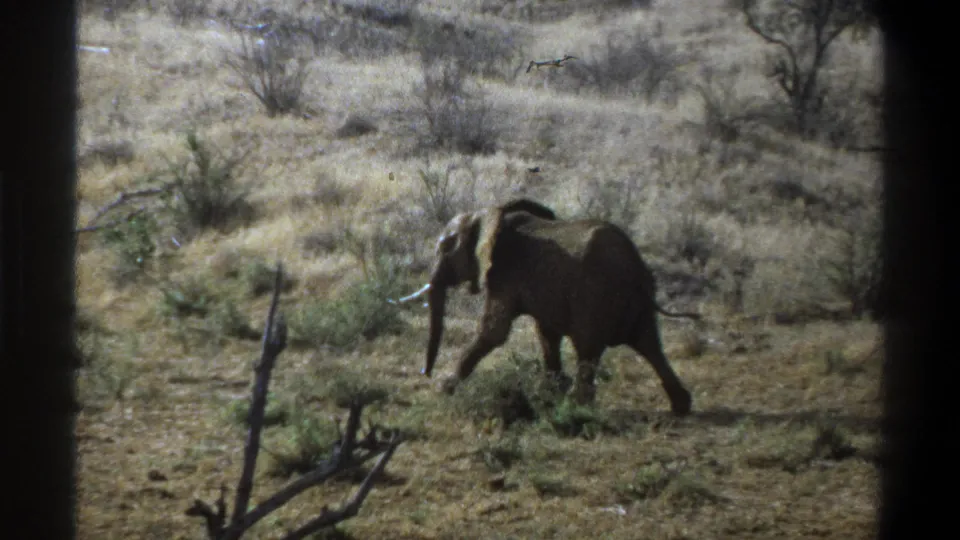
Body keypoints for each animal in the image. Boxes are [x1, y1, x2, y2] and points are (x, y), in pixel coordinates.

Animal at [393, 198, 700, 416]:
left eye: (445, 247)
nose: (425, 374)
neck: (489, 214)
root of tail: (635, 264)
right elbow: (546, 333)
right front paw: (550, 394)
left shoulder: (505, 272)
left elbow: (494, 331)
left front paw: (444, 387)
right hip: (633, 301)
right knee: (649, 344)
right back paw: (681, 406)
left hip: (595, 295)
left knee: (589, 345)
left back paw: (576, 406)